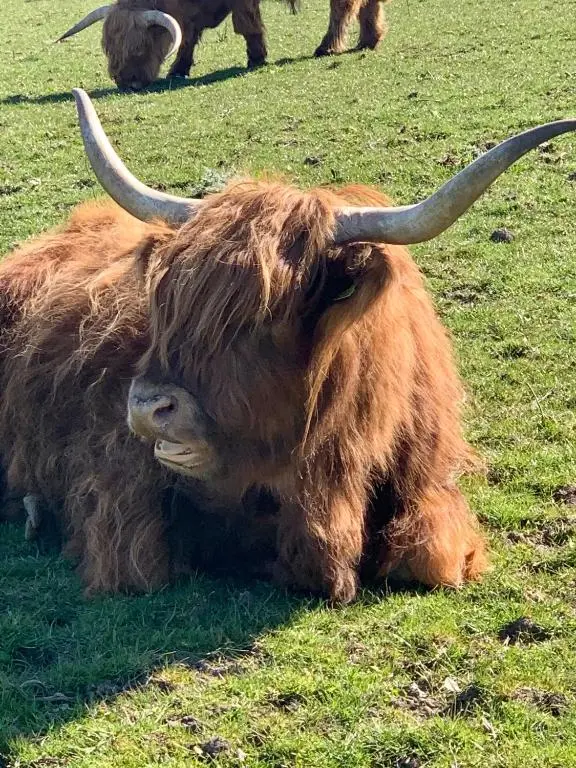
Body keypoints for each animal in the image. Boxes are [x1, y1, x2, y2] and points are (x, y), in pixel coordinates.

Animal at [56, 0, 388, 90]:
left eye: (139, 46)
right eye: (108, 47)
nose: (126, 82)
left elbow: (247, 24)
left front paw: (256, 57)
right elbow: (188, 37)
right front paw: (178, 69)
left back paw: (328, 47)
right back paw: (369, 40)